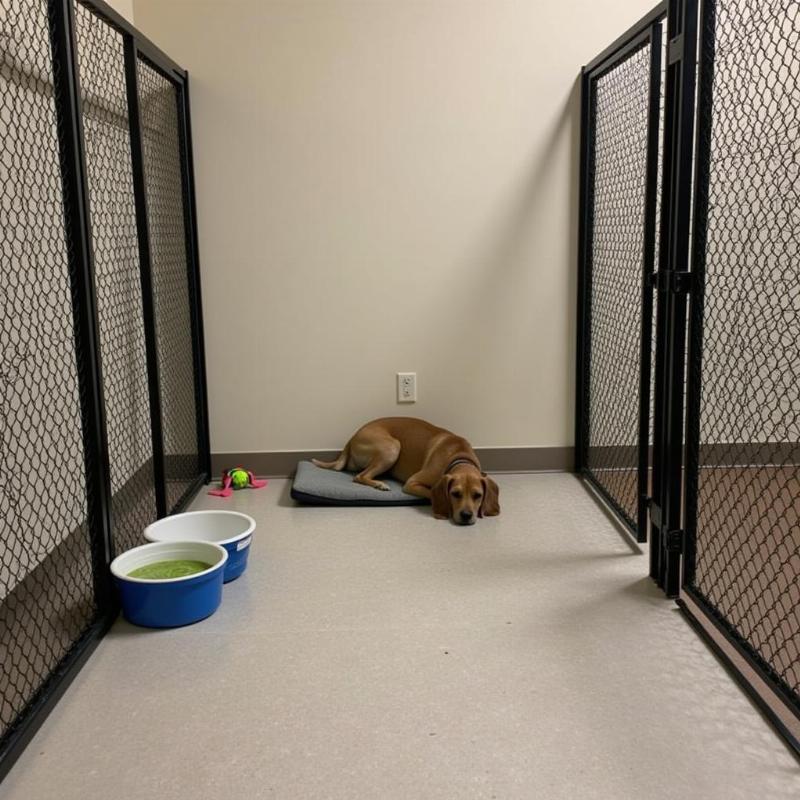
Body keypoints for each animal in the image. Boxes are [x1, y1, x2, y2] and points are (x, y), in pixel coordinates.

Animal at [310, 418, 496, 524]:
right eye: (455, 494)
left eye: (478, 495)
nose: (466, 515)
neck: (459, 455)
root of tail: (352, 438)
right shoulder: (412, 483)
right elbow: (430, 493)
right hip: (392, 448)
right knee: (359, 476)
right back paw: (379, 484)